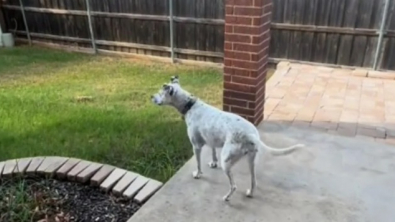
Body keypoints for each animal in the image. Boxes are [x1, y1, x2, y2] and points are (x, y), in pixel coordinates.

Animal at [151, 76, 304, 201]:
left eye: (161, 92)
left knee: (234, 186)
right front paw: (213, 163)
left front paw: (198, 174)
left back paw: (226, 197)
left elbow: (198, 164)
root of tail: (252, 134)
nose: (151, 96)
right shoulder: (211, 140)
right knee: (254, 182)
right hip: (251, 161)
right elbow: (213, 153)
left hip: (226, 161)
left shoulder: (196, 146)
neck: (190, 105)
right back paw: (249, 193)